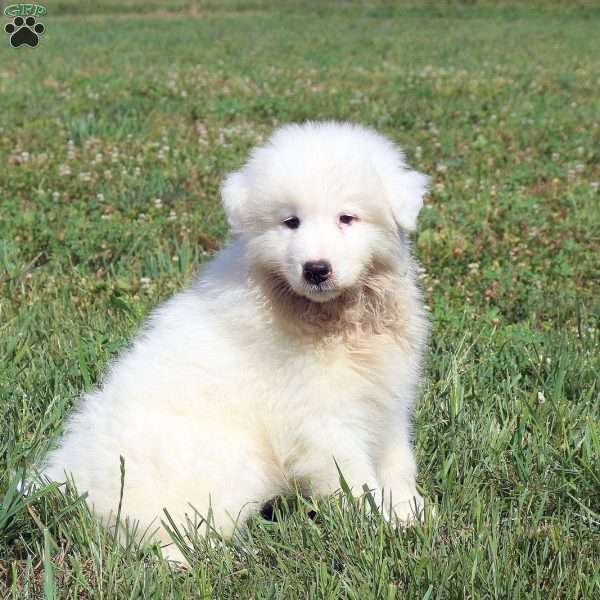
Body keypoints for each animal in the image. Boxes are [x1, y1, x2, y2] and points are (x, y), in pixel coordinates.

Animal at [43, 122, 426, 564]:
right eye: (290, 222)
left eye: (347, 218)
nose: (315, 270)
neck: (333, 318)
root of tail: (63, 480)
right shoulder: (320, 419)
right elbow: (354, 479)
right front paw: (377, 528)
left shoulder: (387, 398)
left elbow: (397, 460)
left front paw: (409, 513)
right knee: (162, 536)